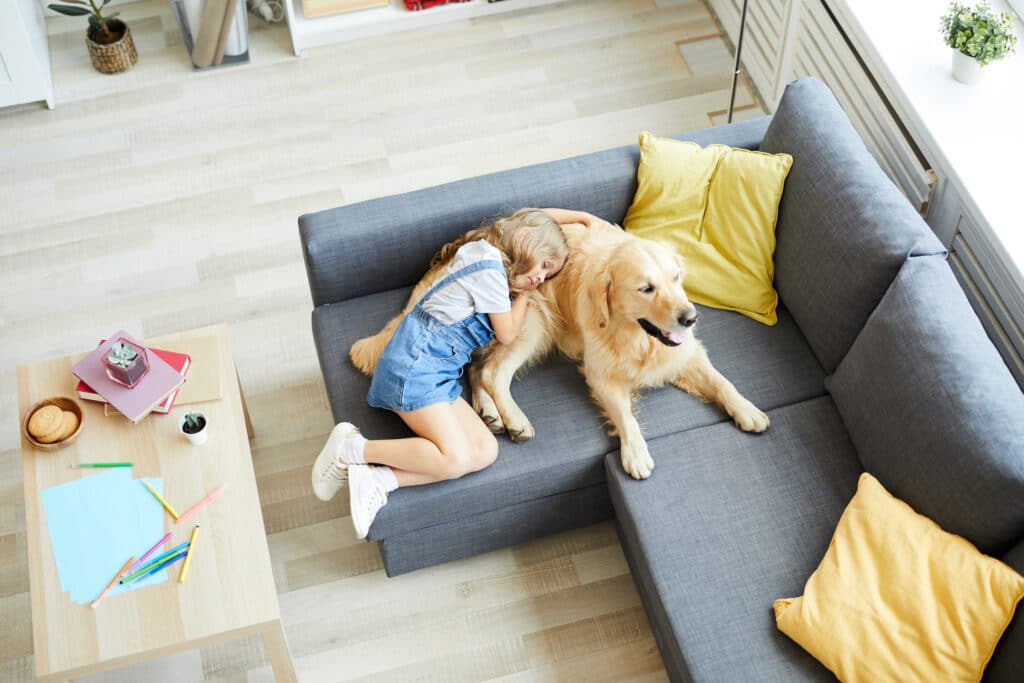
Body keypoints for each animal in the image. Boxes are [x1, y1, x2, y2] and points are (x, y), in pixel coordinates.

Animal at [352, 219, 770, 481]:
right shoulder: (599, 373)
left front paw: (748, 410)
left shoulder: (687, 352)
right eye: (646, 288)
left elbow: (722, 382)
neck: (635, 336)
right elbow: (625, 415)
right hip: (533, 323)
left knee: (475, 369)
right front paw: (635, 453)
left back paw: (492, 414)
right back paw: (515, 420)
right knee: (491, 372)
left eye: (677, 278)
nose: (690, 316)